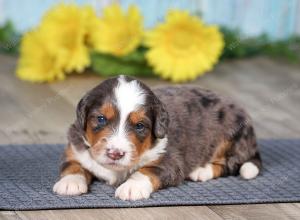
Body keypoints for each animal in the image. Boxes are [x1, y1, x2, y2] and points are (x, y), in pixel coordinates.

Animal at [52, 75, 262, 201]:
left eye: (139, 126)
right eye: (101, 119)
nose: (115, 154)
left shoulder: (170, 162)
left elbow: (145, 171)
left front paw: (131, 187)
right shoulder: (74, 148)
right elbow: (73, 165)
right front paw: (70, 183)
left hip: (233, 138)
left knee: (231, 164)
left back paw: (202, 171)